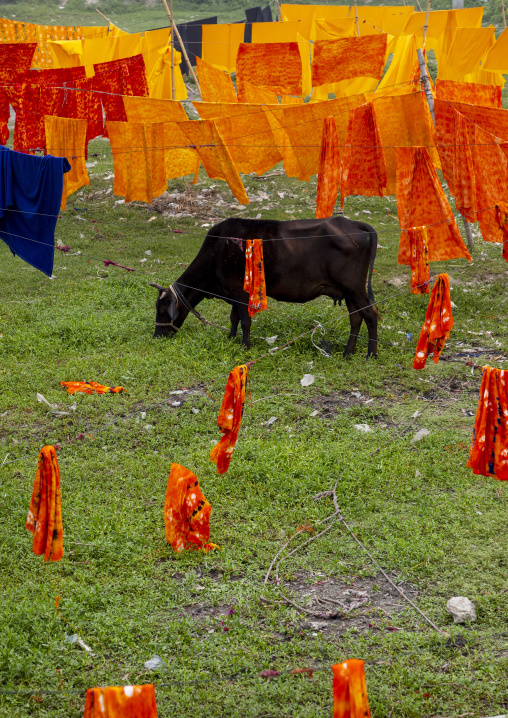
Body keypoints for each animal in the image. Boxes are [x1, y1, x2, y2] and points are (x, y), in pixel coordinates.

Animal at [151, 216, 379, 357]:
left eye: (162, 311)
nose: (156, 336)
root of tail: (351, 223)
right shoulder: (233, 293)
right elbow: (234, 318)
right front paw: (231, 339)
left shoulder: (239, 292)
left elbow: (245, 321)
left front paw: (245, 347)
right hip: (349, 292)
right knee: (356, 318)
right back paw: (348, 352)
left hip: (354, 288)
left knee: (371, 315)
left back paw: (372, 354)